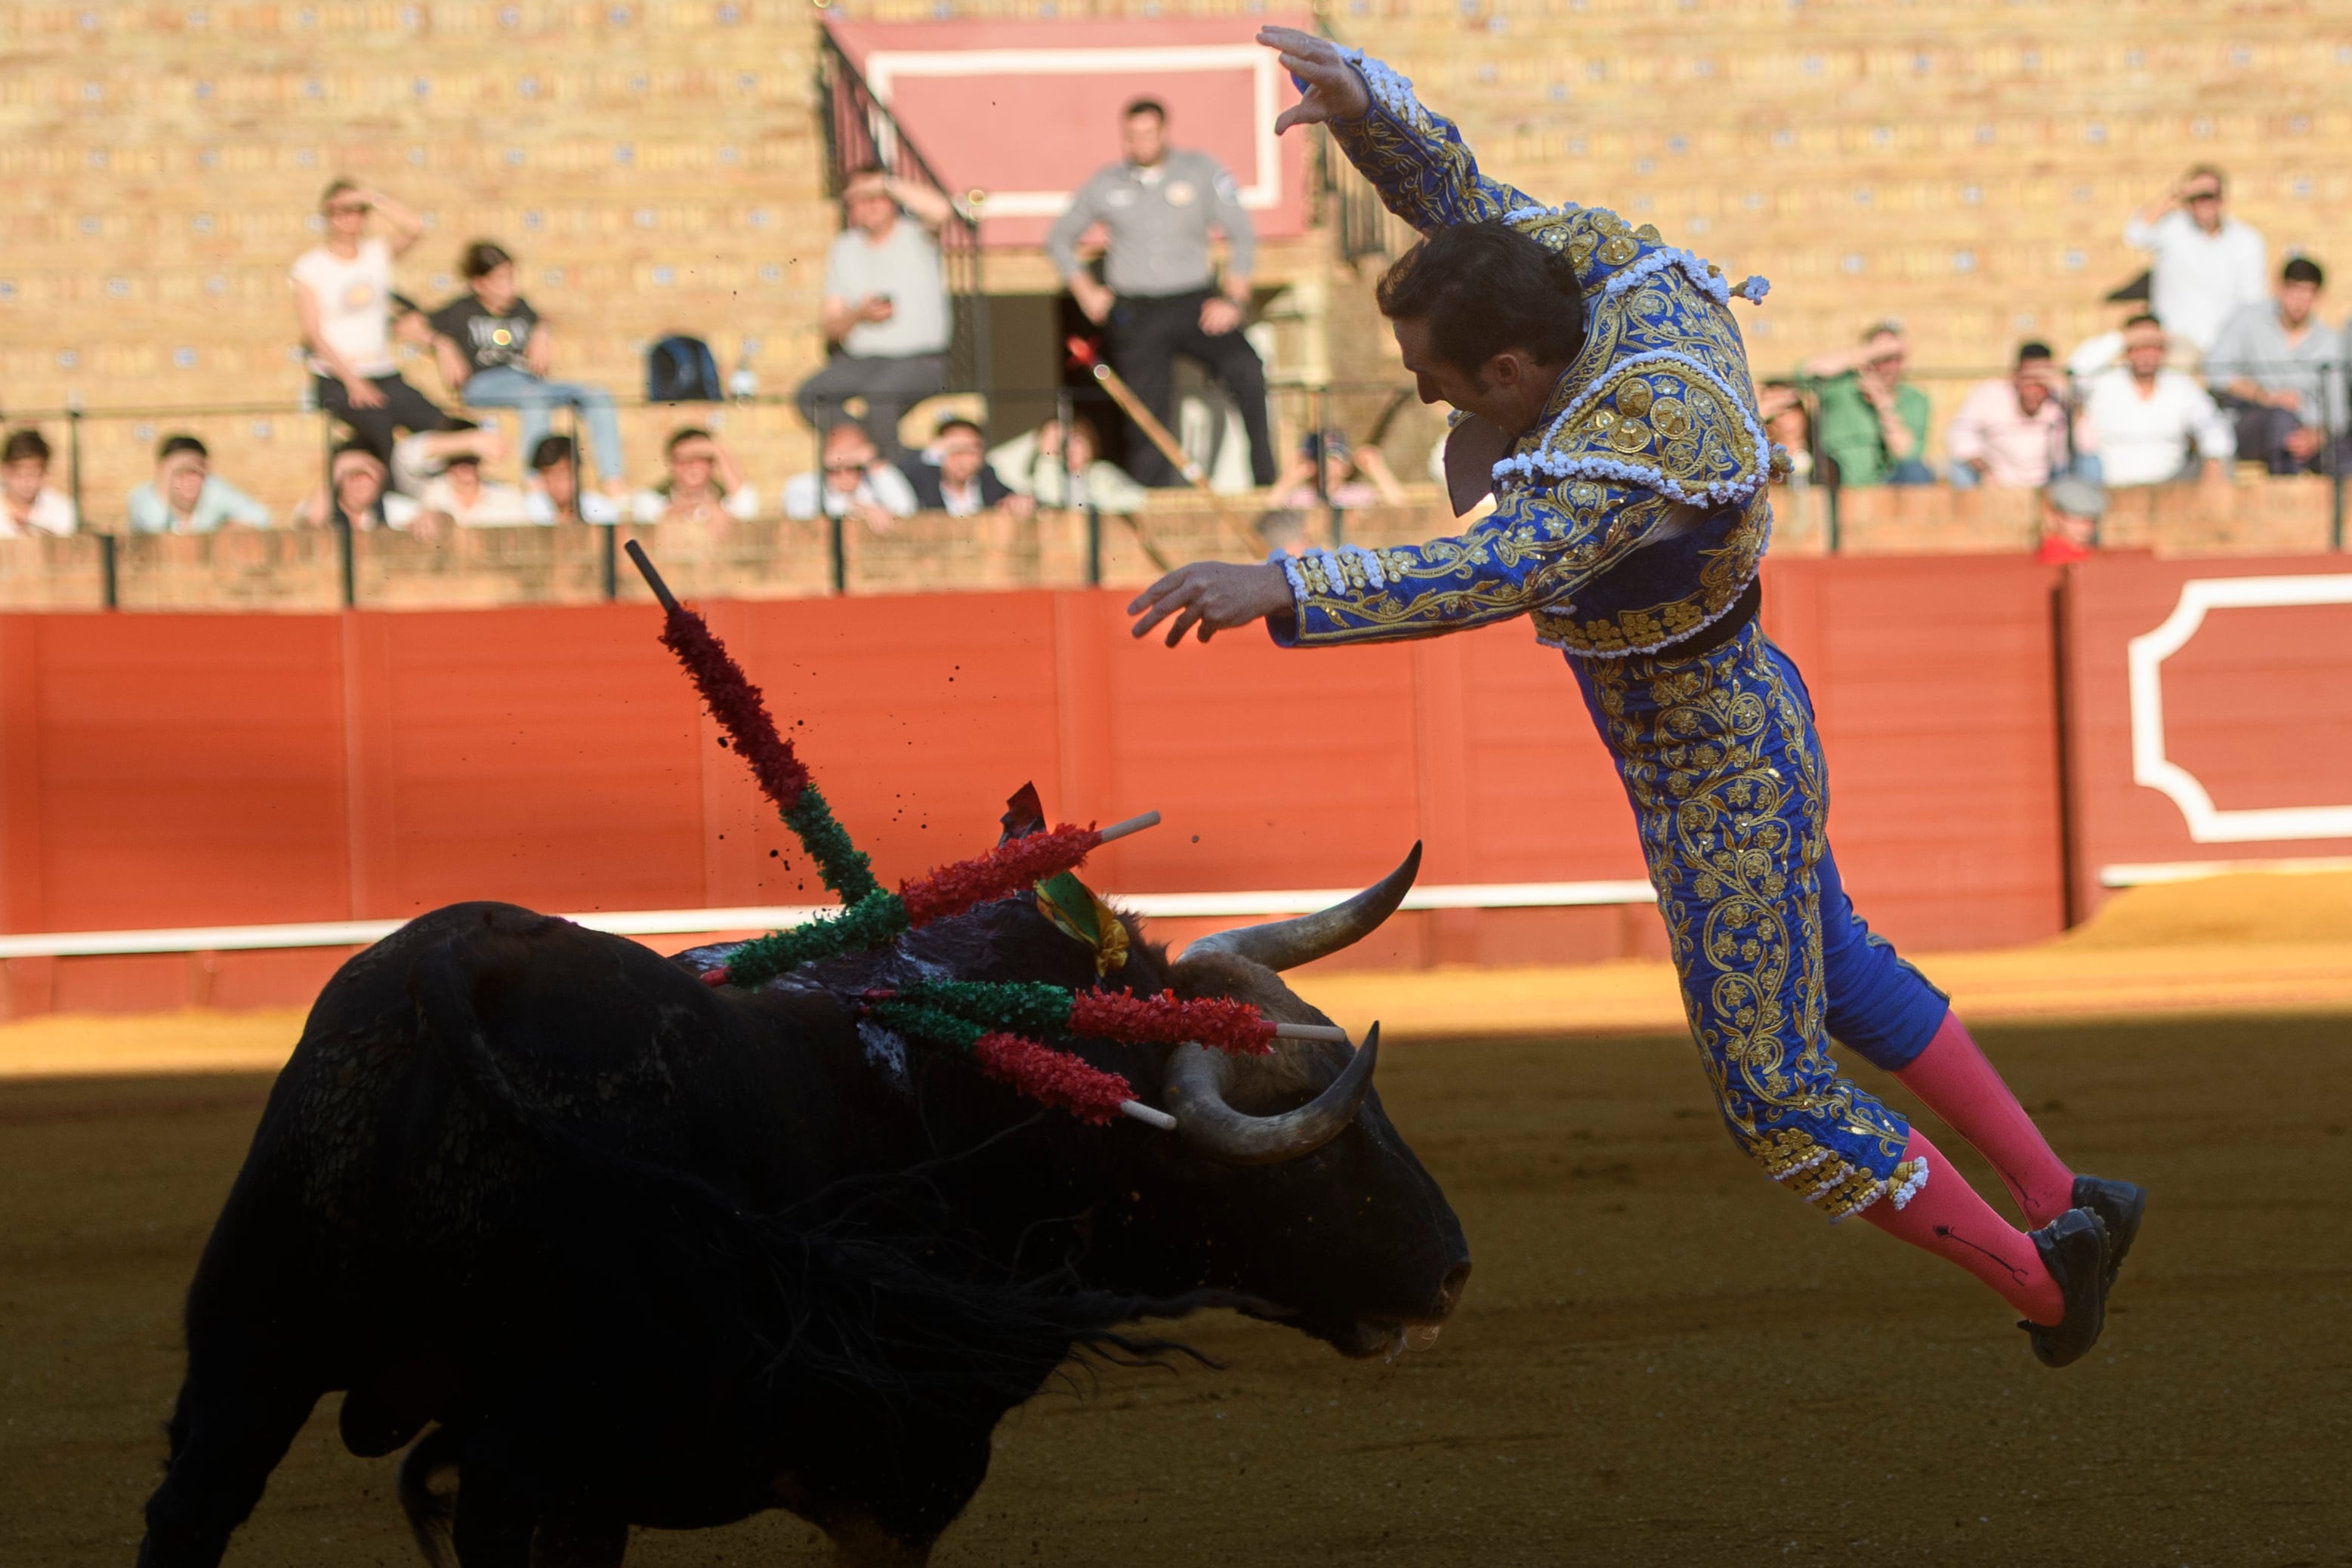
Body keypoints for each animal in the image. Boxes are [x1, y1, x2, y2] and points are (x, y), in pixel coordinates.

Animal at [137, 860, 1458, 1568]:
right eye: (1294, 1156)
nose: (1449, 1266)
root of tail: (460, 963)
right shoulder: (902, 1468)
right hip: (570, 1428)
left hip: (248, 1356)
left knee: (193, 1506)